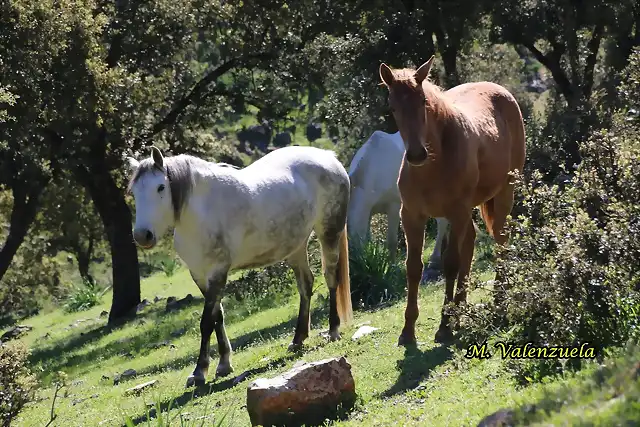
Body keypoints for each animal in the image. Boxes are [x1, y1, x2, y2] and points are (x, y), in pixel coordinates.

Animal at [127, 146, 352, 388]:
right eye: (134, 192)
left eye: (160, 187)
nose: (142, 236)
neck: (202, 212)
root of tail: (328, 156)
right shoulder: (200, 275)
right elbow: (218, 316)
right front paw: (224, 364)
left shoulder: (217, 272)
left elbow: (206, 322)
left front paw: (199, 372)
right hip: (296, 246)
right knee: (305, 285)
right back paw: (298, 339)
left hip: (329, 233)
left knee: (331, 278)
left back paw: (333, 330)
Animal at [348, 132, 448, 282]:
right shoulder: (368, 211)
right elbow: (368, 239)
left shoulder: (394, 207)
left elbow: (392, 241)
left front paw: (392, 268)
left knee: (442, 222)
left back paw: (434, 260)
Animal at [380, 56, 524, 344]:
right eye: (392, 107)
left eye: (423, 101)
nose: (416, 154)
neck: (434, 164)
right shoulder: (411, 216)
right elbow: (413, 267)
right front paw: (408, 330)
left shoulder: (456, 213)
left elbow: (451, 264)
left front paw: (444, 326)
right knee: (471, 242)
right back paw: (462, 308)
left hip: (504, 193)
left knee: (501, 240)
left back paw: (497, 300)